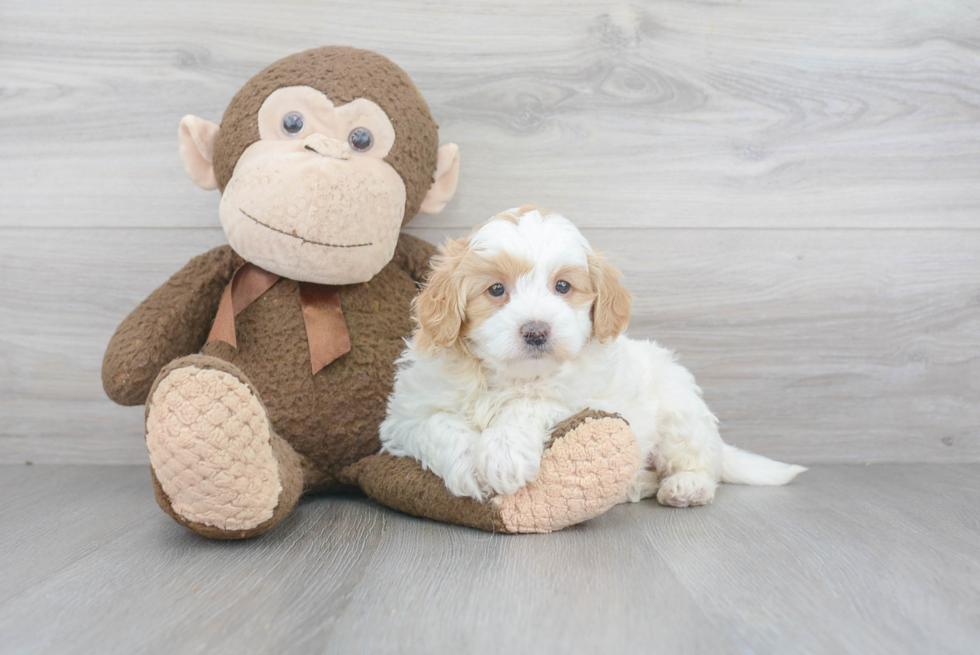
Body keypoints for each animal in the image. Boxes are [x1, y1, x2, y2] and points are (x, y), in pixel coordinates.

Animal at [378, 208, 804, 504]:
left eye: (563, 286)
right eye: (496, 290)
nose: (536, 331)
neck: (510, 375)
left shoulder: (585, 396)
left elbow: (531, 403)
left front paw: (503, 454)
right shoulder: (406, 415)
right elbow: (438, 425)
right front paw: (471, 465)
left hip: (680, 414)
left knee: (702, 465)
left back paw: (685, 487)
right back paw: (636, 483)